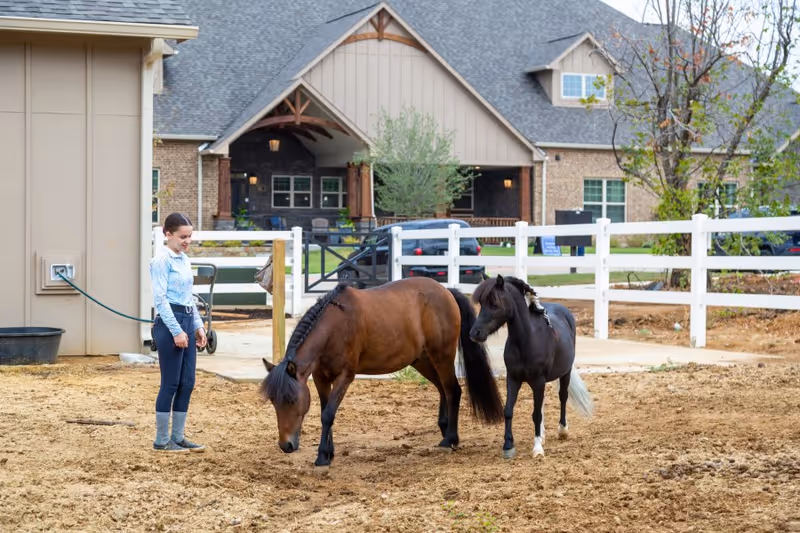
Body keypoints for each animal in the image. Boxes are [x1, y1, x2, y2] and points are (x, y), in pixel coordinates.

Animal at [259, 276, 504, 469]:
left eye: (291, 400)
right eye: (273, 402)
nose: (285, 445)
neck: (334, 326)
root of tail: (446, 291)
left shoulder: (345, 377)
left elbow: (328, 415)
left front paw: (321, 457)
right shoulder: (320, 378)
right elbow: (324, 412)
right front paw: (328, 453)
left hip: (441, 356)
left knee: (453, 390)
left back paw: (450, 439)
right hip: (422, 360)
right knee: (443, 389)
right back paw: (444, 430)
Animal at [469, 275, 593, 459]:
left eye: (495, 304)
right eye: (482, 303)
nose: (474, 333)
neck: (527, 340)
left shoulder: (538, 380)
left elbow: (536, 414)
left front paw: (537, 449)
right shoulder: (513, 379)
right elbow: (509, 410)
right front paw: (508, 446)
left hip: (565, 373)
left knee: (562, 397)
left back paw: (562, 430)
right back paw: (542, 435)